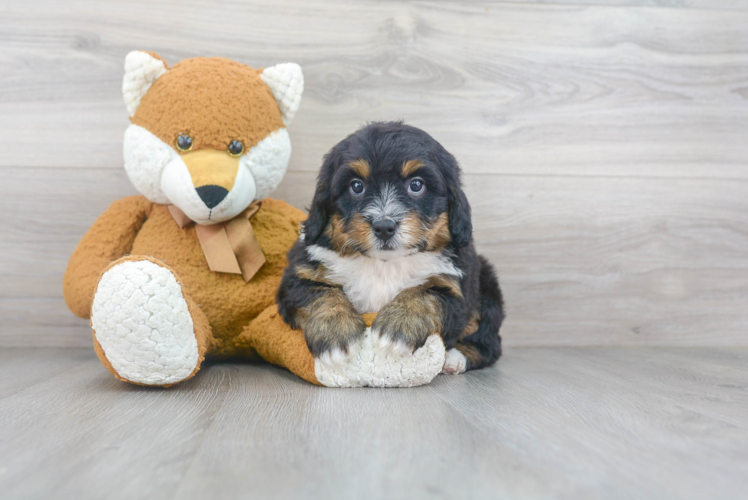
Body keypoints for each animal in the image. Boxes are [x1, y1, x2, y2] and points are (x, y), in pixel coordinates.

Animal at [274, 120, 502, 372]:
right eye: (356, 186)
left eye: (416, 185)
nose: (384, 226)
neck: (383, 264)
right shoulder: (299, 274)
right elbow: (321, 294)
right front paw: (335, 333)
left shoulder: (456, 286)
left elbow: (426, 294)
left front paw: (399, 326)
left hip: (487, 286)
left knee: (490, 343)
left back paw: (454, 359)